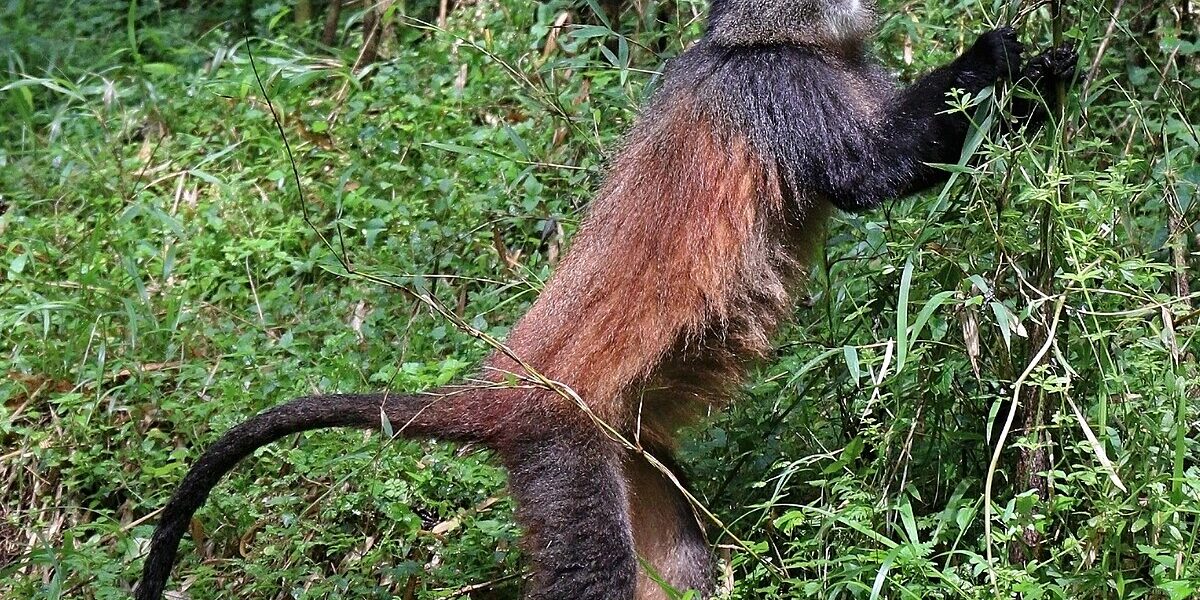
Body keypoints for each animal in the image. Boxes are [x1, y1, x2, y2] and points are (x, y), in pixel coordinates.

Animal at [136, 1, 1078, 599]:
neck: (759, 39)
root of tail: (503, 389)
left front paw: (1047, 81)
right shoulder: (773, 88)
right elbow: (873, 171)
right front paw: (1001, 59)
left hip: (630, 456)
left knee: (680, 568)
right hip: (566, 452)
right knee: (595, 576)